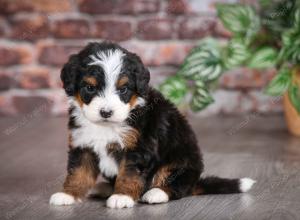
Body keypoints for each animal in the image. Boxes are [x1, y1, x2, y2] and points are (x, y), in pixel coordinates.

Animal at [49, 42, 255, 209]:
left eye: (123, 89)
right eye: (90, 88)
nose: (106, 112)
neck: (106, 126)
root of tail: (195, 181)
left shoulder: (138, 148)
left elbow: (129, 174)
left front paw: (122, 196)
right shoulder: (82, 143)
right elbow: (79, 172)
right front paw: (68, 194)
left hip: (181, 161)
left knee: (176, 186)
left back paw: (156, 193)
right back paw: (103, 187)